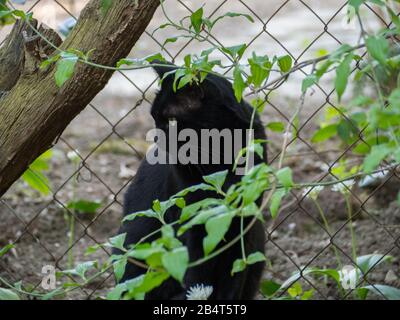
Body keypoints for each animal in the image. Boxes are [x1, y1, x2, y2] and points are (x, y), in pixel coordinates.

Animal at [115, 63, 266, 300]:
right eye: (154, 117)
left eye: (171, 120)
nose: (156, 137)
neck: (218, 159)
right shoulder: (193, 220)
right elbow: (196, 273)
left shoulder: (241, 222)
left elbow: (233, 277)